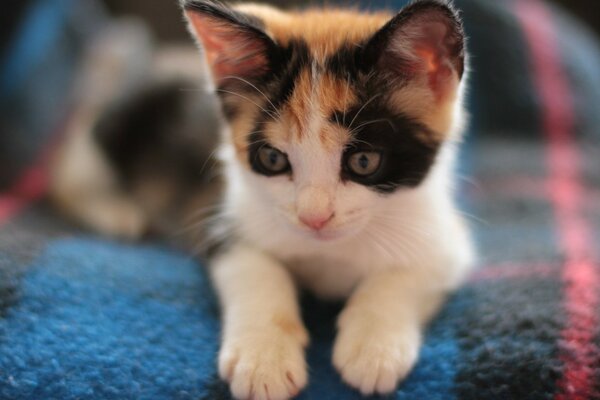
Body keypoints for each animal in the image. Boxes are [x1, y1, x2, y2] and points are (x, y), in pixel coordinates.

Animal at [51, 0, 474, 400]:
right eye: (272, 159)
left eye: (364, 162)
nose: (314, 218)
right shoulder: (220, 215)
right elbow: (256, 270)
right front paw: (263, 360)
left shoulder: (447, 238)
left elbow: (410, 272)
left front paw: (374, 347)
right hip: (113, 123)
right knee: (68, 165)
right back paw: (116, 212)